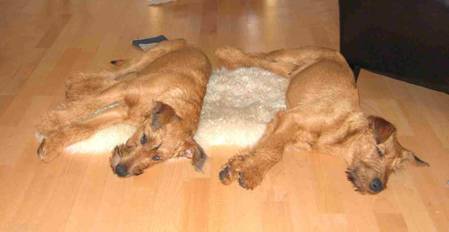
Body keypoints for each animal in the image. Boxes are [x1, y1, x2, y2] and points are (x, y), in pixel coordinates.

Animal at [36, 39, 211, 177]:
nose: (120, 171)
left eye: (157, 158)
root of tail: (195, 46)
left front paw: (52, 145)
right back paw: (77, 85)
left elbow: (84, 128)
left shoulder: (120, 112)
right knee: (115, 73)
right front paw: (50, 123)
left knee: (112, 79)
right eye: (144, 138)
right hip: (147, 57)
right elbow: (87, 106)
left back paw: (79, 88)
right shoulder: (122, 91)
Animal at [214, 45, 428, 194]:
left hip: (288, 70)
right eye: (379, 151)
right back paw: (227, 54)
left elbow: (267, 148)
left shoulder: (282, 126)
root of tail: (336, 51)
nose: (378, 187)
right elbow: (273, 153)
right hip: (289, 57)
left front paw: (238, 164)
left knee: (265, 63)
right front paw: (253, 173)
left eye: (393, 170)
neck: (340, 129)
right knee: (256, 57)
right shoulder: (292, 117)